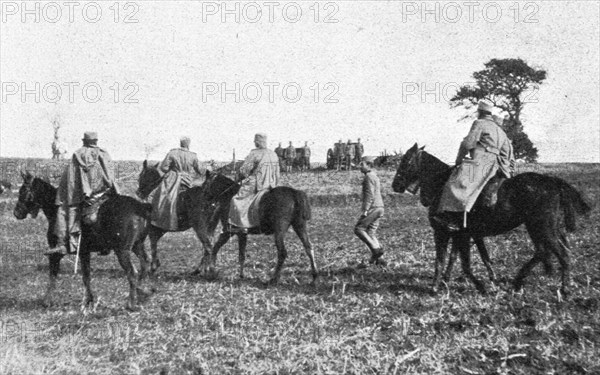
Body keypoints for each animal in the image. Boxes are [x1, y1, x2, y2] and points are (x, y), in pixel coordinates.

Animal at [14, 172, 155, 310]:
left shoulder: (55, 253)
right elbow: (86, 276)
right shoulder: (83, 252)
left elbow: (53, 275)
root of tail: (141, 207)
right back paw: (142, 293)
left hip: (122, 251)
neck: (56, 211)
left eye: (23, 191)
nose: (17, 213)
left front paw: (46, 301)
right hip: (137, 245)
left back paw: (131, 303)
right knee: (145, 264)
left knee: (132, 272)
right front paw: (89, 300)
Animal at [392, 144, 592, 296]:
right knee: (546, 251)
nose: (395, 185)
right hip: (543, 228)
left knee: (559, 253)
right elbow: (467, 258)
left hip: (542, 228)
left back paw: (563, 288)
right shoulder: (463, 234)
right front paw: (450, 282)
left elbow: (447, 261)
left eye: (406, 161)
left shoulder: (445, 233)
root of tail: (553, 181)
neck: (441, 186)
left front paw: (437, 286)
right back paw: (522, 280)